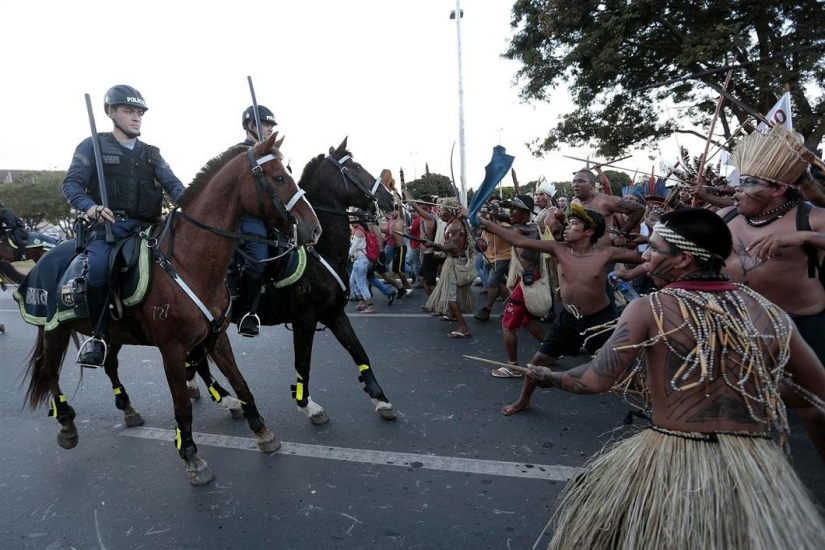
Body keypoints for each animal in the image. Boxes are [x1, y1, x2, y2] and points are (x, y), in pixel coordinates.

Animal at [18, 134, 322, 488]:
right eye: (278, 178)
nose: (314, 229)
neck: (188, 263)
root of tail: (43, 257)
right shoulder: (172, 349)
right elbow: (182, 406)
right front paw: (191, 457)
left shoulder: (217, 337)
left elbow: (241, 382)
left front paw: (262, 432)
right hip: (54, 330)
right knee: (50, 372)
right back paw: (66, 424)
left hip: (112, 332)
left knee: (109, 364)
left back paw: (128, 409)